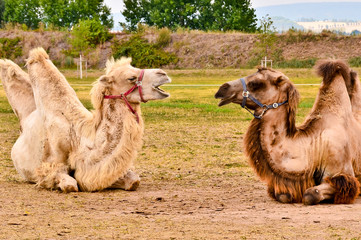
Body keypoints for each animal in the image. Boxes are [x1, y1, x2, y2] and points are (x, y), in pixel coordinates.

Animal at [0, 47, 172, 192]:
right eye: (131, 78)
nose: (163, 74)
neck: (80, 138)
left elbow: (133, 180)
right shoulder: (51, 165)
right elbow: (70, 184)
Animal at [214, 60, 360, 204]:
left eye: (255, 83)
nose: (222, 89)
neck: (314, 145)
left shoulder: (342, 173)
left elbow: (310, 195)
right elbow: (282, 196)